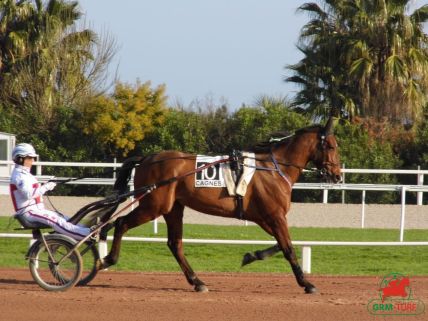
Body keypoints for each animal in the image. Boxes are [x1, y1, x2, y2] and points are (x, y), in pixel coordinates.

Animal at [99, 117, 342, 292]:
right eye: (331, 146)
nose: (338, 176)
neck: (273, 169)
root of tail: (148, 158)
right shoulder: (275, 216)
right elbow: (288, 248)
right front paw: (307, 284)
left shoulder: (266, 218)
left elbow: (280, 245)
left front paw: (252, 256)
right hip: (153, 206)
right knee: (121, 223)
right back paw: (108, 258)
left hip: (172, 208)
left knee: (174, 244)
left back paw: (197, 281)